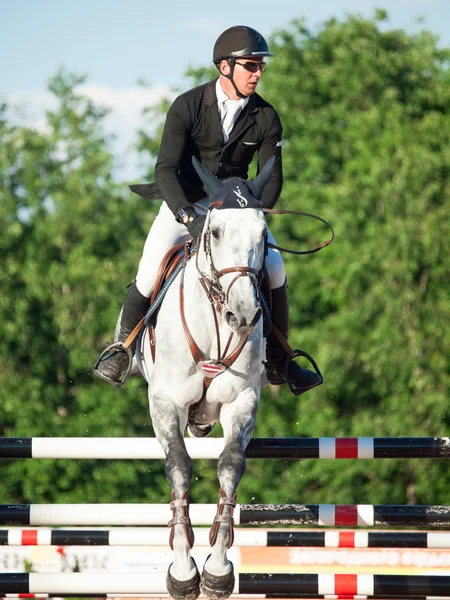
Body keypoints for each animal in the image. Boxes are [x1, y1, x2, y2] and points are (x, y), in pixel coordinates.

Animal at [136, 158, 274, 600]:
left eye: (263, 235)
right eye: (214, 231)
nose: (243, 316)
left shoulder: (241, 400)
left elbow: (230, 465)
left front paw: (217, 571)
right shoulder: (166, 402)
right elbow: (179, 465)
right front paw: (182, 572)